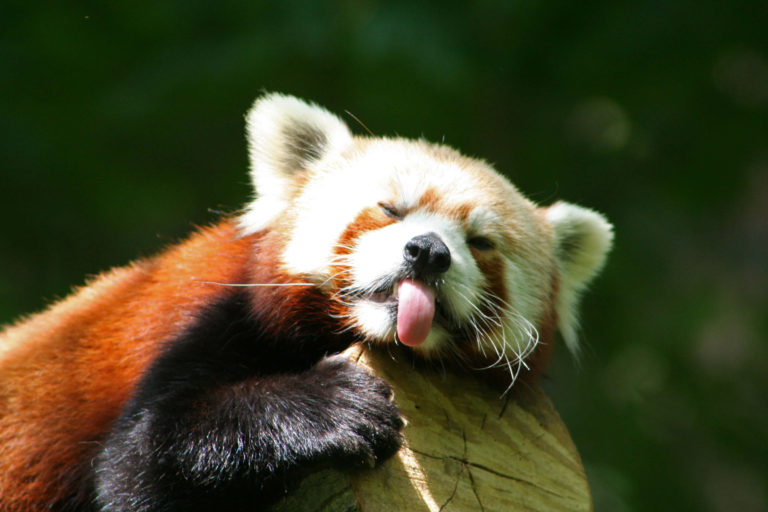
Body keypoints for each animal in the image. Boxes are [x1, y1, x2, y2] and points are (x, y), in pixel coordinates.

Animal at [0, 94, 612, 510]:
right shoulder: (214, 316)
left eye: (481, 243)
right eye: (390, 209)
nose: (428, 252)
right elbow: (138, 465)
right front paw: (333, 407)